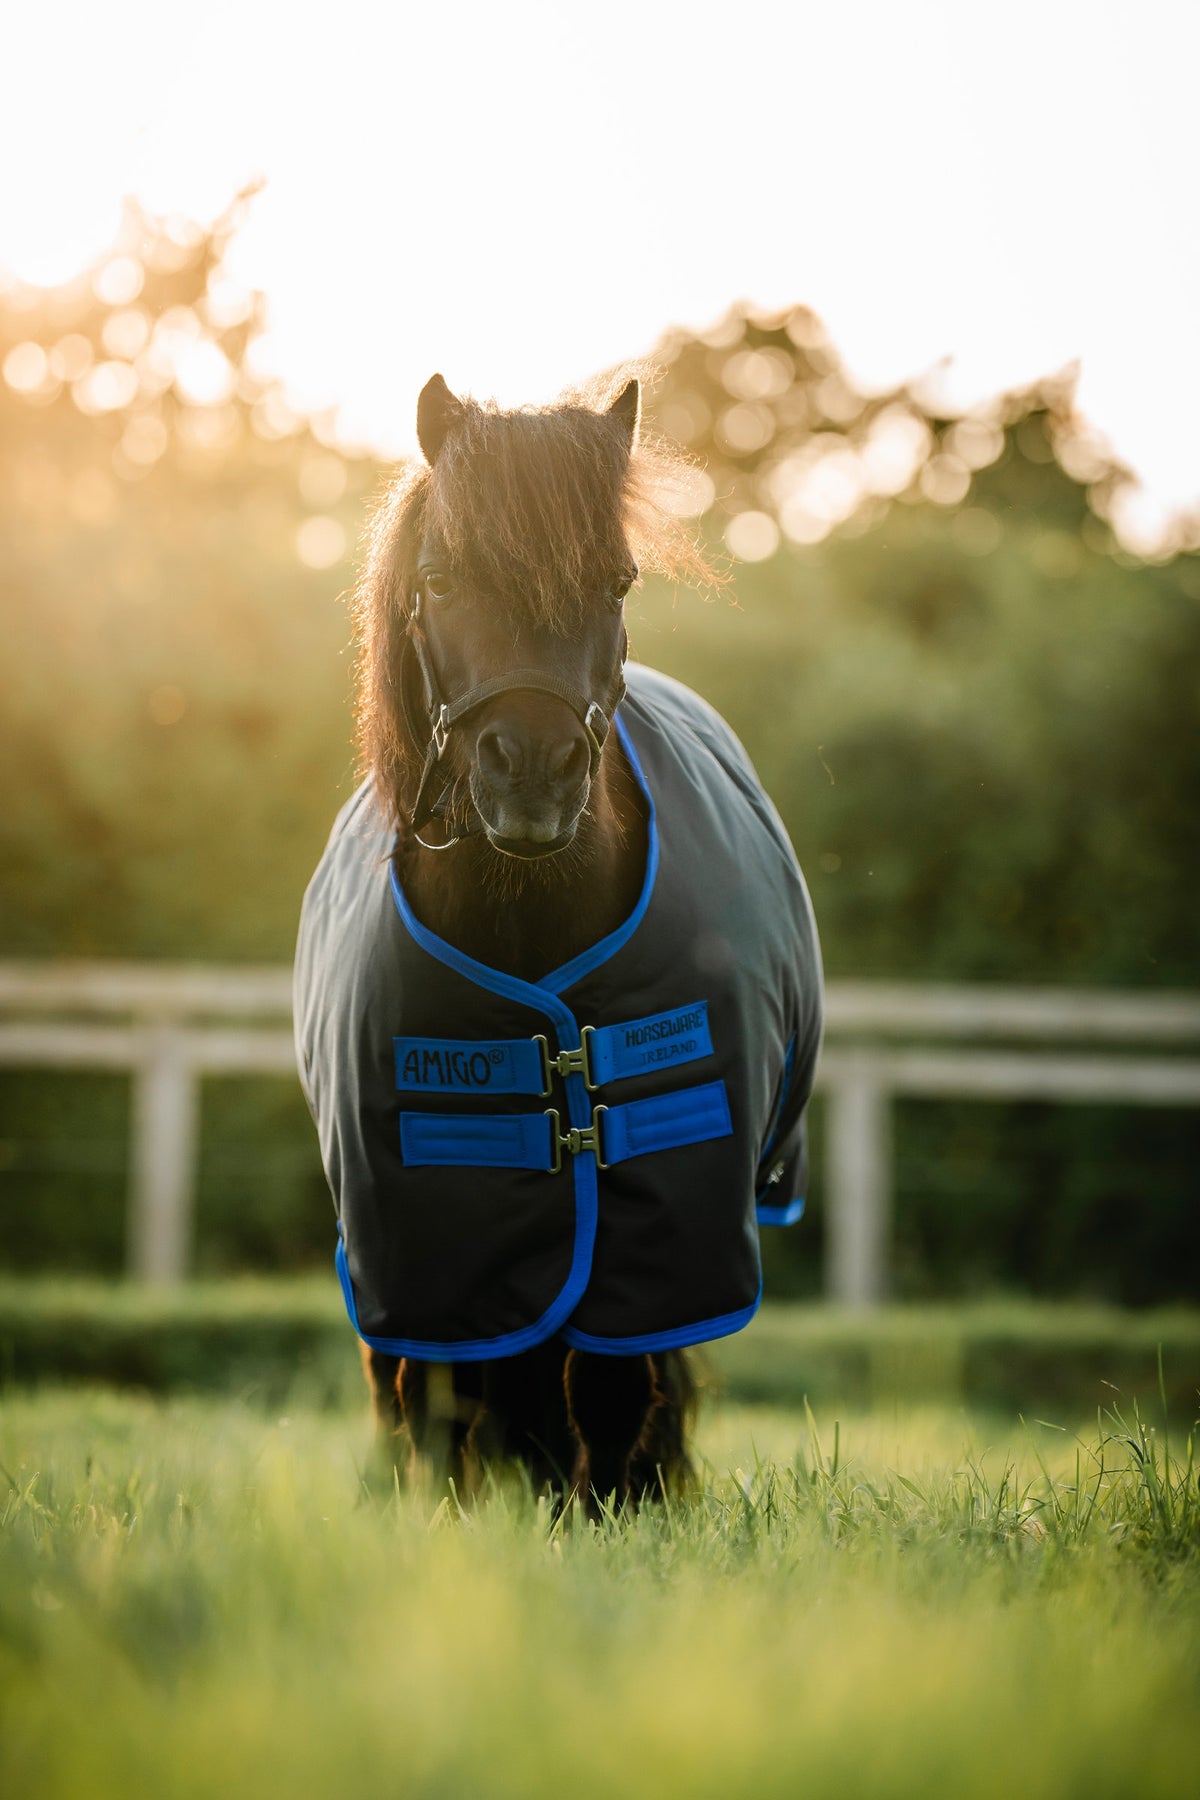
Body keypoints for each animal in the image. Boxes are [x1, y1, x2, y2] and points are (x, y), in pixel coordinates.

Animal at [294, 372, 823, 1513]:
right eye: (440, 576)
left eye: (618, 580)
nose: (531, 769)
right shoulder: (415, 1227)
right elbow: (438, 1393)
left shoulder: (665, 1223)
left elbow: (613, 1387)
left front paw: (609, 1509)